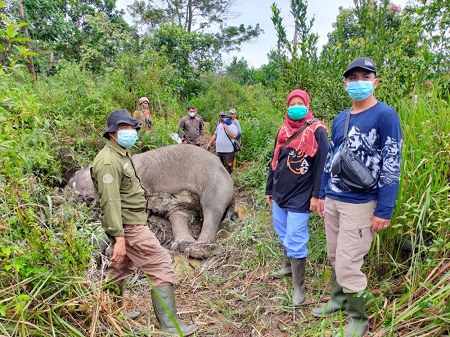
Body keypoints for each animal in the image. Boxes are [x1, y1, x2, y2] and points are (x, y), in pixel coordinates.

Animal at [68, 144, 236, 258]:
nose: (67, 186)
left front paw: (110, 251)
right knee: (178, 213)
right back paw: (182, 245)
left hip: (214, 180)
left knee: (211, 207)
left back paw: (196, 251)